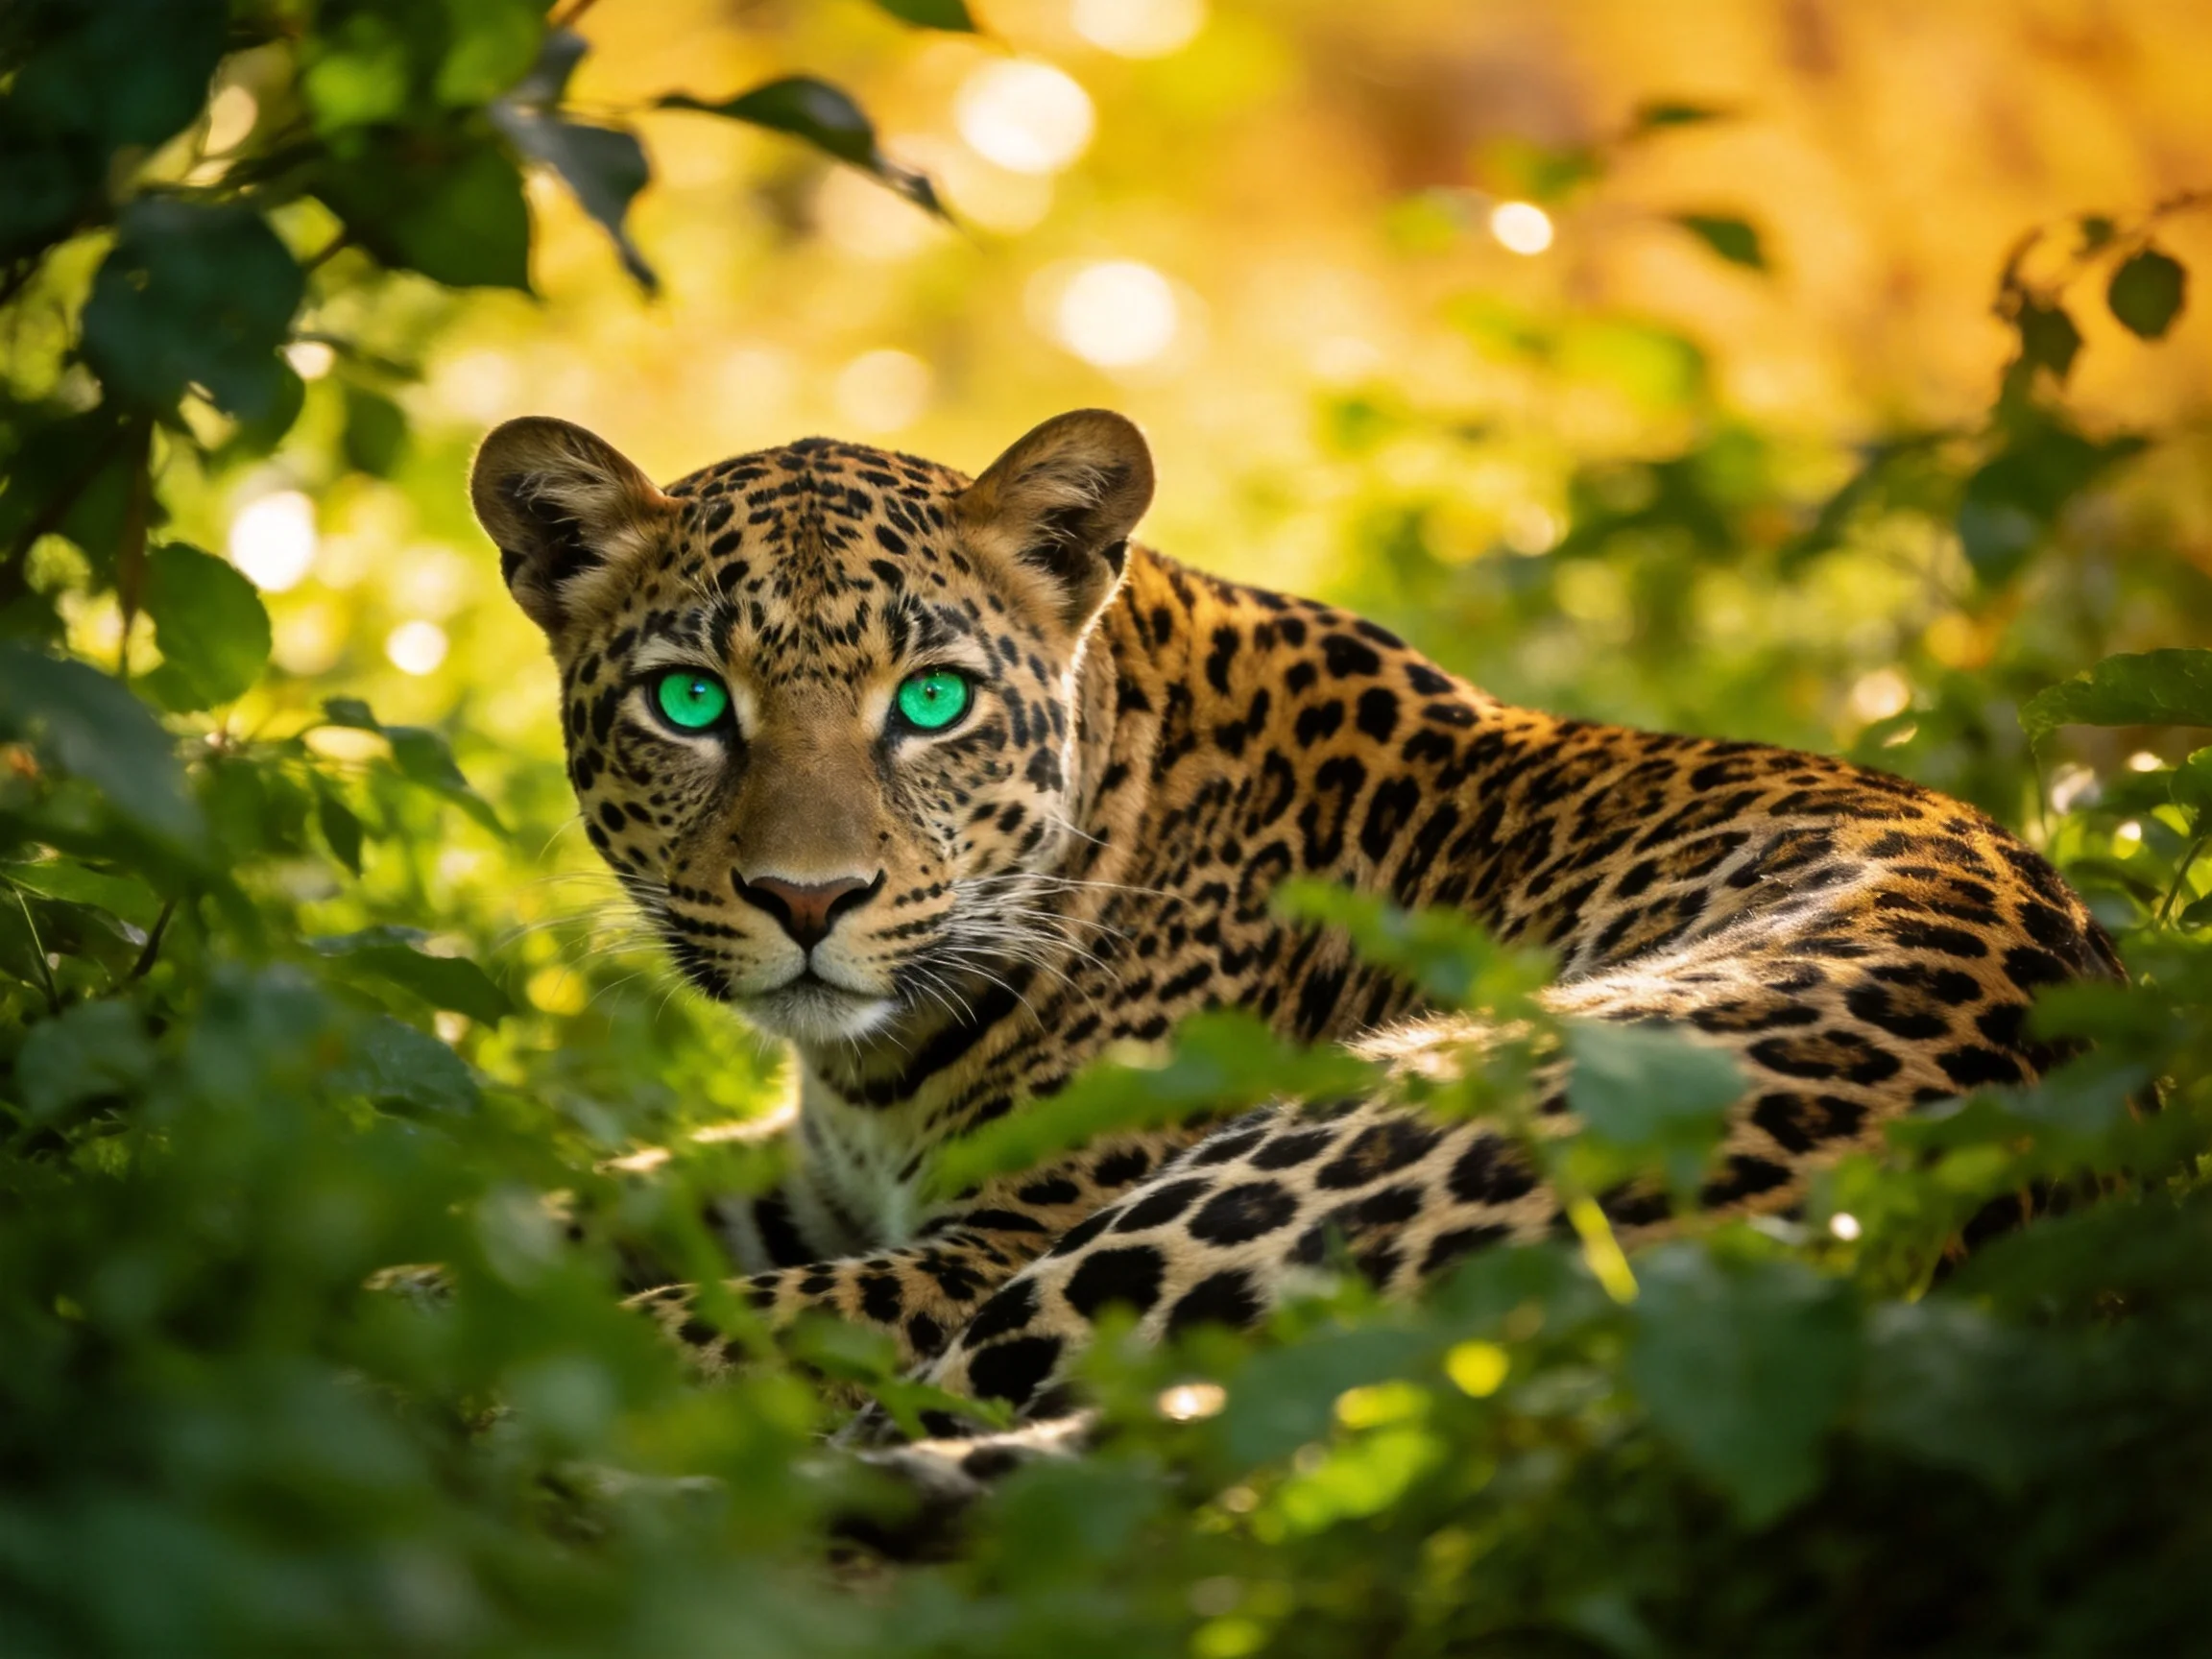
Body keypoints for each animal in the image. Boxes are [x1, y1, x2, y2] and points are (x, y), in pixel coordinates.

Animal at [469, 407, 2118, 1520]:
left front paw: (432, 1348)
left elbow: (673, 1325)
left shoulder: (982, 1240)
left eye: (931, 700)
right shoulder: (805, 1174)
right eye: (691, 700)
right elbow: (553, 1218)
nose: (807, 899)